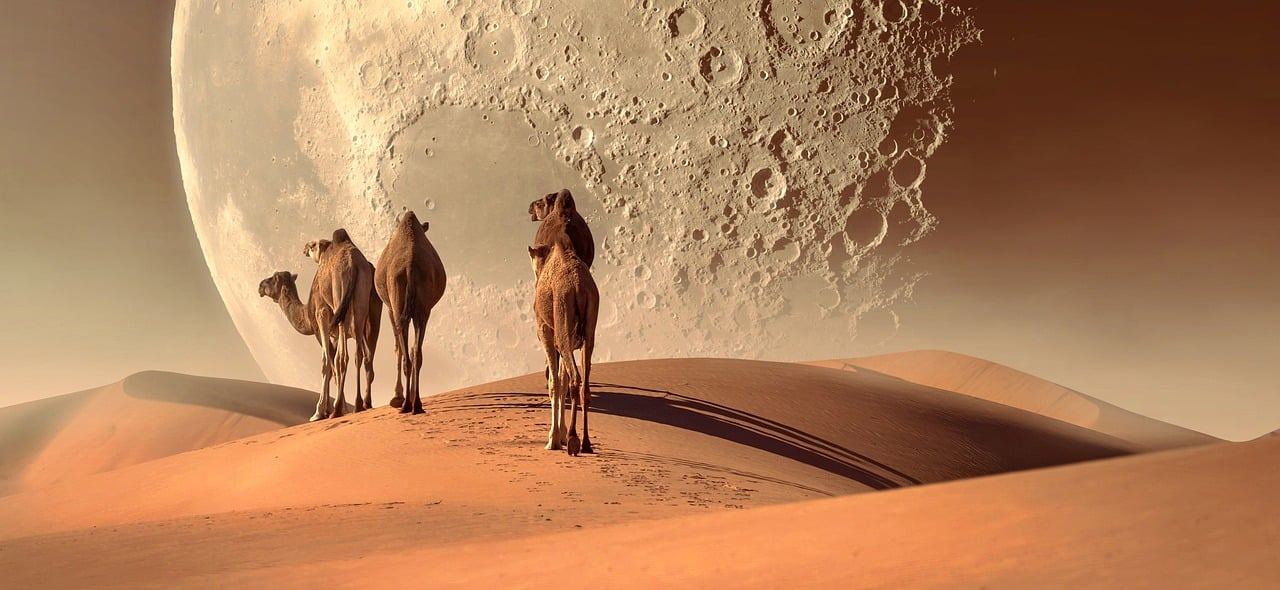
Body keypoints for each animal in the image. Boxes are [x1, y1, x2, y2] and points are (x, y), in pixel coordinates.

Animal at [375, 211, 446, 415]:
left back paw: (406, 403)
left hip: (399, 302)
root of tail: (409, 266)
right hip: (422, 310)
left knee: (407, 352)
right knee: (416, 353)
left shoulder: (390, 309)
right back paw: (416, 404)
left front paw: (396, 397)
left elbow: (397, 348)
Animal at [528, 230, 599, 456]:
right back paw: (586, 443)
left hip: (561, 323)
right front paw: (559, 434)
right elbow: (562, 380)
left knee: (575, 378)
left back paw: (574, 439)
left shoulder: (546, 332)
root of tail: (579, 287)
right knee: (584, 385)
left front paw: (553, 440)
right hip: (589, 331)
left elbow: (555, 383)